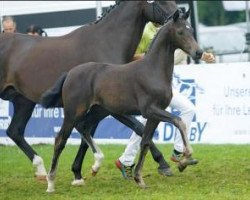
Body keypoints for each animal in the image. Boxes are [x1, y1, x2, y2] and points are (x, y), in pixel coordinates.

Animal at [41, 9, 202, 192]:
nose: (199, 53)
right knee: (60, 139)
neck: (153, 70)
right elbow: (178, 121)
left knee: (84, 127)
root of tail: (69, 73)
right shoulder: (150, 110)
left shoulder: (154, 115)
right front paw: (186, 157)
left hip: (99, 110)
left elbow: (145, 142)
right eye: (180, 32)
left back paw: (95, 164)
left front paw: (139, 179)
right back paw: (51, 183)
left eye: (191, 30)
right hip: (73, 111)